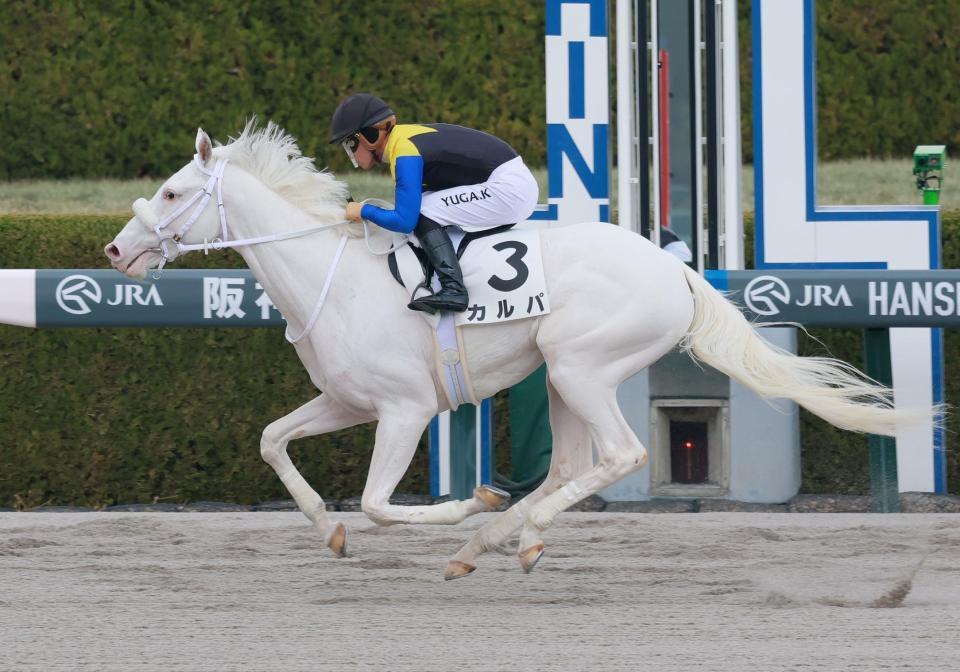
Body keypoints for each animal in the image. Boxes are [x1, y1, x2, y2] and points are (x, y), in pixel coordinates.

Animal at [105, 123, 928, 580]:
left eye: (173, 193)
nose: (116, 250)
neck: (328, 280)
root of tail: (678, 269)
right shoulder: (345, 399)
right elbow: (274, 441)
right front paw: (329, 531)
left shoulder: (405, 410)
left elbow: (377, 504)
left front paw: (466, 500)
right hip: (561, 377)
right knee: (567, 466)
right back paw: (488, 546)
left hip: (581, 366)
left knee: (620, 454)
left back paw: (510, 531)